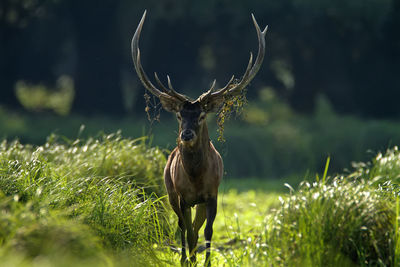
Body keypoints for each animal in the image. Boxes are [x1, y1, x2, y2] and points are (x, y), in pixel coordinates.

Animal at [131, 9, 268, 266]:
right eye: (178, 115)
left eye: (202, 115)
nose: (186, 134)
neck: (195, 177)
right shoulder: (182, 197)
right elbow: (185, 230)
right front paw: (187, 259)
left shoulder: (212, 195)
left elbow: (208, 231)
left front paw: (206, 261)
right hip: (171, 193)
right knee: (184, 227)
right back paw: (188, 256)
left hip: (201, 203)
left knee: (196, 227)